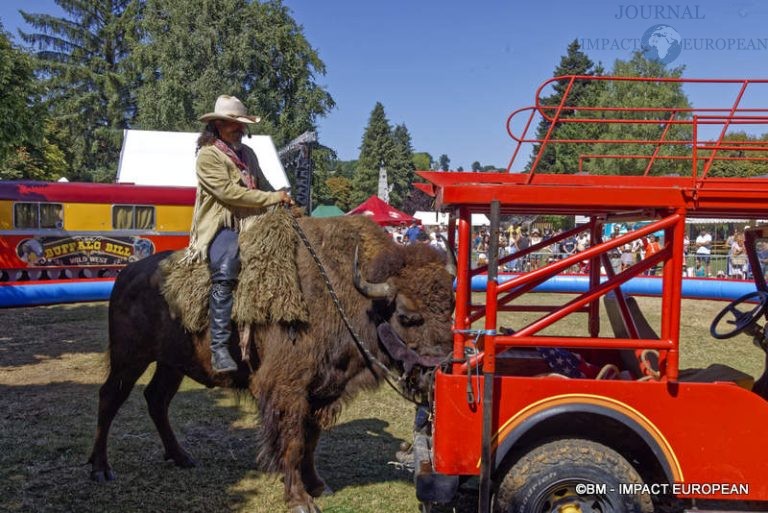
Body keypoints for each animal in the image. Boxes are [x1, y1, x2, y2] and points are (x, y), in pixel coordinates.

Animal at [87, 214, 456, 512]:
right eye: (407, 316)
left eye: (451, 306)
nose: (438, 371)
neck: (349, 296)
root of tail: (127, 274)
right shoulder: (288, 389)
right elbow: (291, 442)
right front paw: (299, 499)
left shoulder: (321, 391)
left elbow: (310, 441)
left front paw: (318, 485)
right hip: (129, 358)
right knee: (110, 398)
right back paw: (101, 469)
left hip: (172, 364)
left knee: (156, 400)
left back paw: (182, 457)